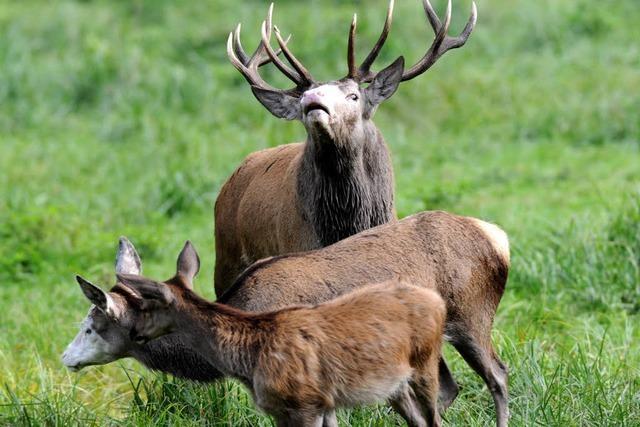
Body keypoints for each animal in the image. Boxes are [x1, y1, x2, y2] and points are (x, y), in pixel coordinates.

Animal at [72, 244, 448, 427]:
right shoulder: (311, 406)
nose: (67, 357)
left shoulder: (304, 405)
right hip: (395, 386)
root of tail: (436, 300)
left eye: (91, 324)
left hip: (425, 369)